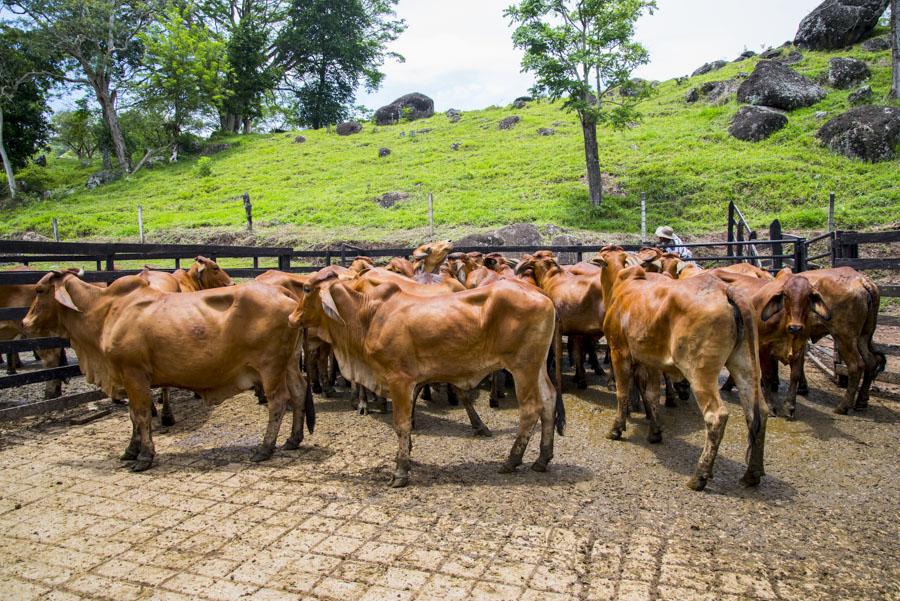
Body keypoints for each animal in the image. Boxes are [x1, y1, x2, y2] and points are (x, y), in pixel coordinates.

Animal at [22, 270, 312, 472]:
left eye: (39, 290)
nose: (25, 322)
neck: (106, 312)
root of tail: (285, 295)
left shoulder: (134, 373)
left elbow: (140, 414)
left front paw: (144, 456)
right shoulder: (129, 377)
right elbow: (132, 415)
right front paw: (131, 449)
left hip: (270, 366)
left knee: (278, 401)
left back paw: (265, 447)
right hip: (288, 363)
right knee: (299, 392)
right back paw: (293, 439)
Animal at [294, 270, 564, 486]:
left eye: (306, 289)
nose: (292, 317)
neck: (368, 316)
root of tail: (542, 294)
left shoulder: (400, 380)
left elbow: (401, 424)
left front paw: (401, 471)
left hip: (523, 367)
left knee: (531, 408)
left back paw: (512, 460)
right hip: (537, 367)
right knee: (549, 400)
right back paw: (542, 458)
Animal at [592, 246, 768, 490]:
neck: (623, 284)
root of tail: (725, 291)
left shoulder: (620, 351)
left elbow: (622, 393)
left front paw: (616, 429)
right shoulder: (651, 361)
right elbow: (652, 395)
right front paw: (655, 432)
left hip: (700, 371)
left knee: (716, 416)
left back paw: (699, 476)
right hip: (746, 364)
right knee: (757, 411)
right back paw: (752, 473)